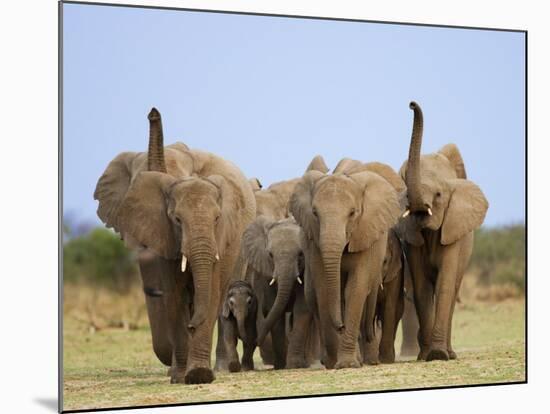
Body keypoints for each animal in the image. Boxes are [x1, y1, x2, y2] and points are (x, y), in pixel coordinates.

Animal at [94, 107, 258, 384]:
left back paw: (221, 367)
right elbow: (173, 296)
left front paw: (200, 375)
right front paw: (181, 376)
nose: (153, 112)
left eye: (217, 219)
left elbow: (209, 294)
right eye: (176, 219)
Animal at [243, 217, 320, 368]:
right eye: (270, 255)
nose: (256, 341)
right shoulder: (265, 276)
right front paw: (280, 365)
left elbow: (301, 309)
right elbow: (274, 309)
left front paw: (295, 365)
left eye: (301, 254)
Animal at [288, 159, 406, 368]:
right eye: (315, 213)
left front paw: (347, 365)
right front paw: (335, 362)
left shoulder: (364, 235)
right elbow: (324, 289)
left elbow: (355, 288)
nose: (341, 326)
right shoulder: (314, 242)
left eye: (352, 213)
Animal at [398, 102, 490, 360]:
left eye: (439, 195)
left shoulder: (453, 230)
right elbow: (421, 286)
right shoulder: (412, 238)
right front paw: (427, 356)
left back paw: (450, 353)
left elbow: (445, 284)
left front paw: (438, 355)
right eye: (404, 189)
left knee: (453, 287)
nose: (411, 104)